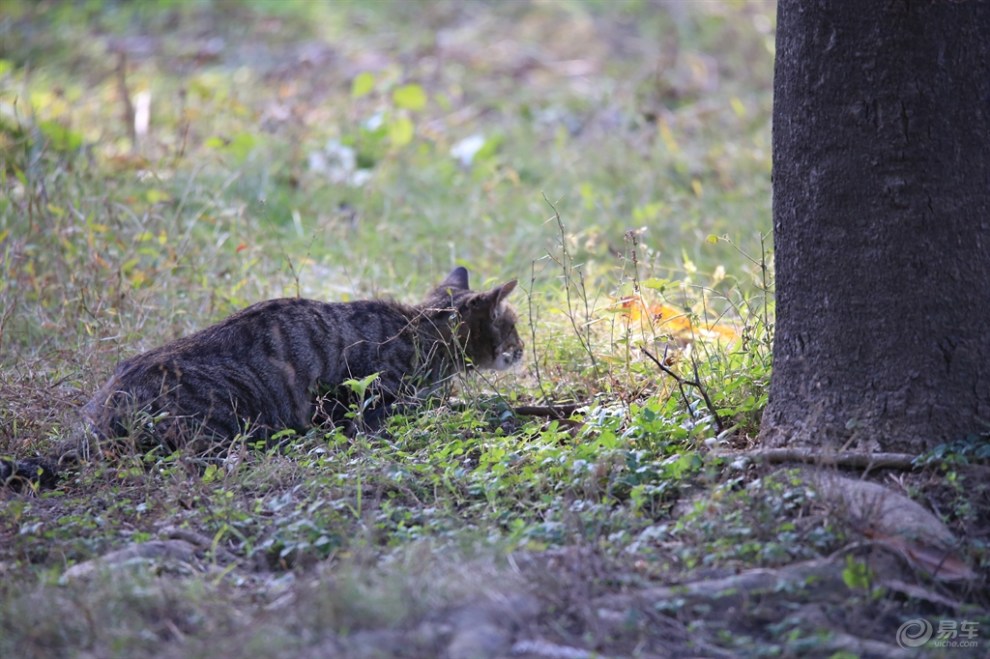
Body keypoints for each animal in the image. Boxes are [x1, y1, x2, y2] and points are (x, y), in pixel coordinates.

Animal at [1, 266, 528, 488]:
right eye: (513, 324)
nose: (523, 348)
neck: (419, 330)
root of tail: (98, 417)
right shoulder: (364, 405)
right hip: (225, 419)